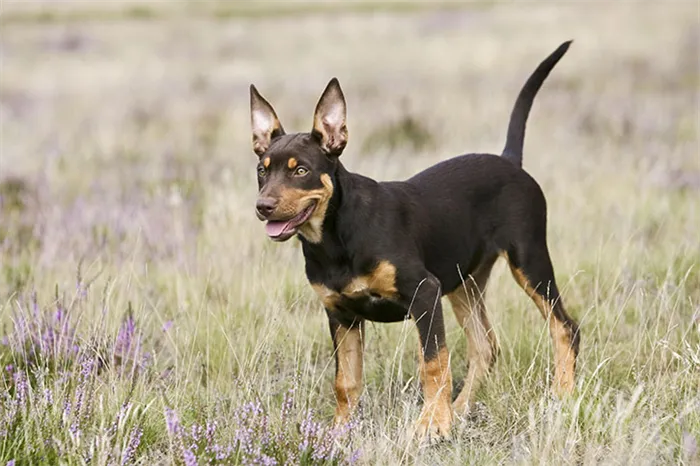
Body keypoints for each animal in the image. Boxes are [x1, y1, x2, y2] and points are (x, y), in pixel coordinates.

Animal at [250, 41, 580, 440]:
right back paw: (461, 408)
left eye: (301, 170)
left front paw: (432, 425)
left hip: (528, 261)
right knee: (485, 346)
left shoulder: (425, 293)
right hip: (464, 283)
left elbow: (433, 363)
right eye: (262, 170)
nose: (263, 206)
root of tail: (509, 161)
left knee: (565, 327)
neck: (334, 239)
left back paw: (562, 393)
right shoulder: (340, 314)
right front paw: (339, 430)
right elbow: (345, 381)